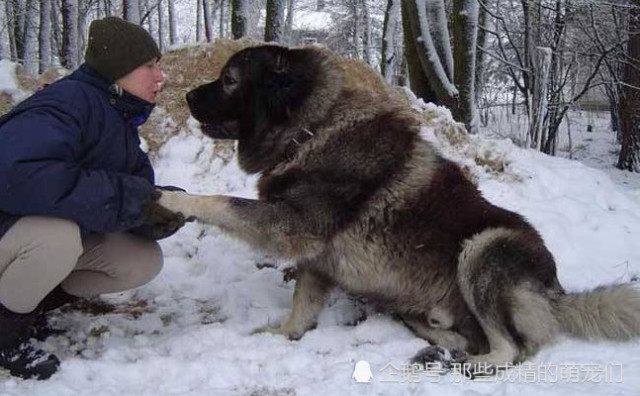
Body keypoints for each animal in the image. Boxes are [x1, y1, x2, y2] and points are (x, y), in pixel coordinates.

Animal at [158, 44, 640, 372]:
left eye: (229, 80)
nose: (186, 97)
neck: (310, 130)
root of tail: (555, 293)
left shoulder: (292, 226)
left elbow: (219, 202)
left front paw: (169, 197)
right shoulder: (317, 256)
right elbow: (302, 306)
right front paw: (283, 335)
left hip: (481, 250)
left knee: (511, 348)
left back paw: (470, 365)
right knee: (469, 335)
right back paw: (440, 339)